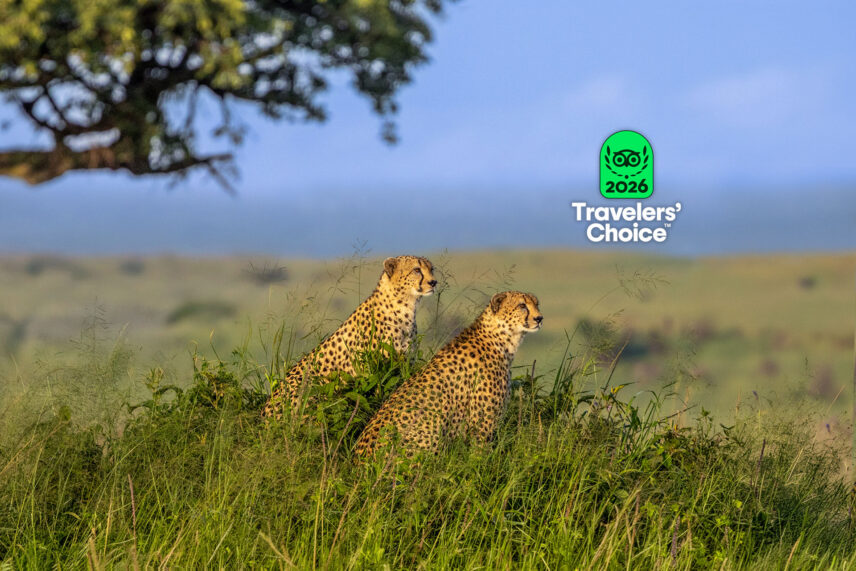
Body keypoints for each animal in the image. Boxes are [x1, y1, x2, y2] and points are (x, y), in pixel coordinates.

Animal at [262, 255, 437, 419]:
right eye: (417, 270)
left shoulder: (404, 364)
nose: (433, 282)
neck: (405, 306)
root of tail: (265, 413)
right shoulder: (372, 371)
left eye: (431, 269)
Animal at [354, 290, 542, 458]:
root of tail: (359, 460)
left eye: (536, 304)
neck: (501, 339)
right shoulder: (482, 426)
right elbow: (480, 459)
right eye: (522, 305)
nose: (539, 318)